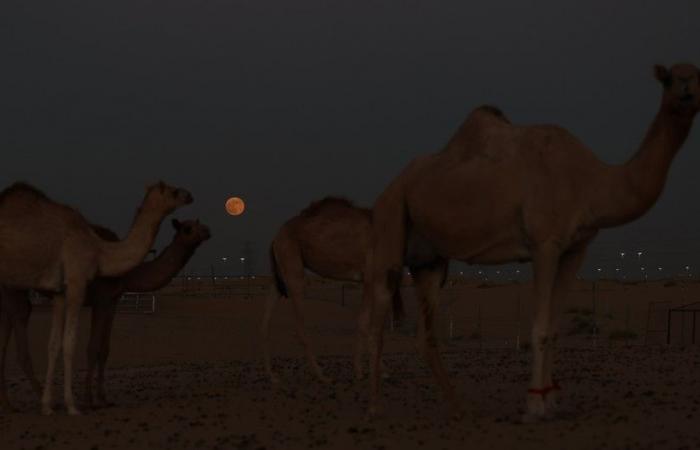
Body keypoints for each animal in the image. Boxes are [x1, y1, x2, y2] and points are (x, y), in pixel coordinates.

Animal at [0, 181, 191, 414]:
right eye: (174, 191)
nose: (189, 196)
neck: (100, 250)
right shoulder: (79, 283)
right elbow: (72, 343)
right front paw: (74, 405)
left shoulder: (62, 292)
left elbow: (54, 344)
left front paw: (48, 405)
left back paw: (9, 403)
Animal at [264, 197, 404, 384]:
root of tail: (275, 238)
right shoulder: (370, 277)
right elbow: (364, 322)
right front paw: (362, 371)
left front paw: (375, 370)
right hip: (292, 262)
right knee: (299, 324)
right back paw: (322, 376)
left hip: (279, 274)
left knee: (266, 320)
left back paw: (272, 375)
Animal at [366, 64, 700, 422]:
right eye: (669, 79)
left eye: (697, 76)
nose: (687, 92)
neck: (590, 182)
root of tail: (389, 188)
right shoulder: (545, 244)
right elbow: (539, 327)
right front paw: (535, 405)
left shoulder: (575, 249)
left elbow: (553, 327)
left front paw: (552, 400)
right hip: (391, 221)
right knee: (378, 316)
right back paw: (375, 407)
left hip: (430, 260)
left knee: (424, 334)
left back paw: (459, 407)